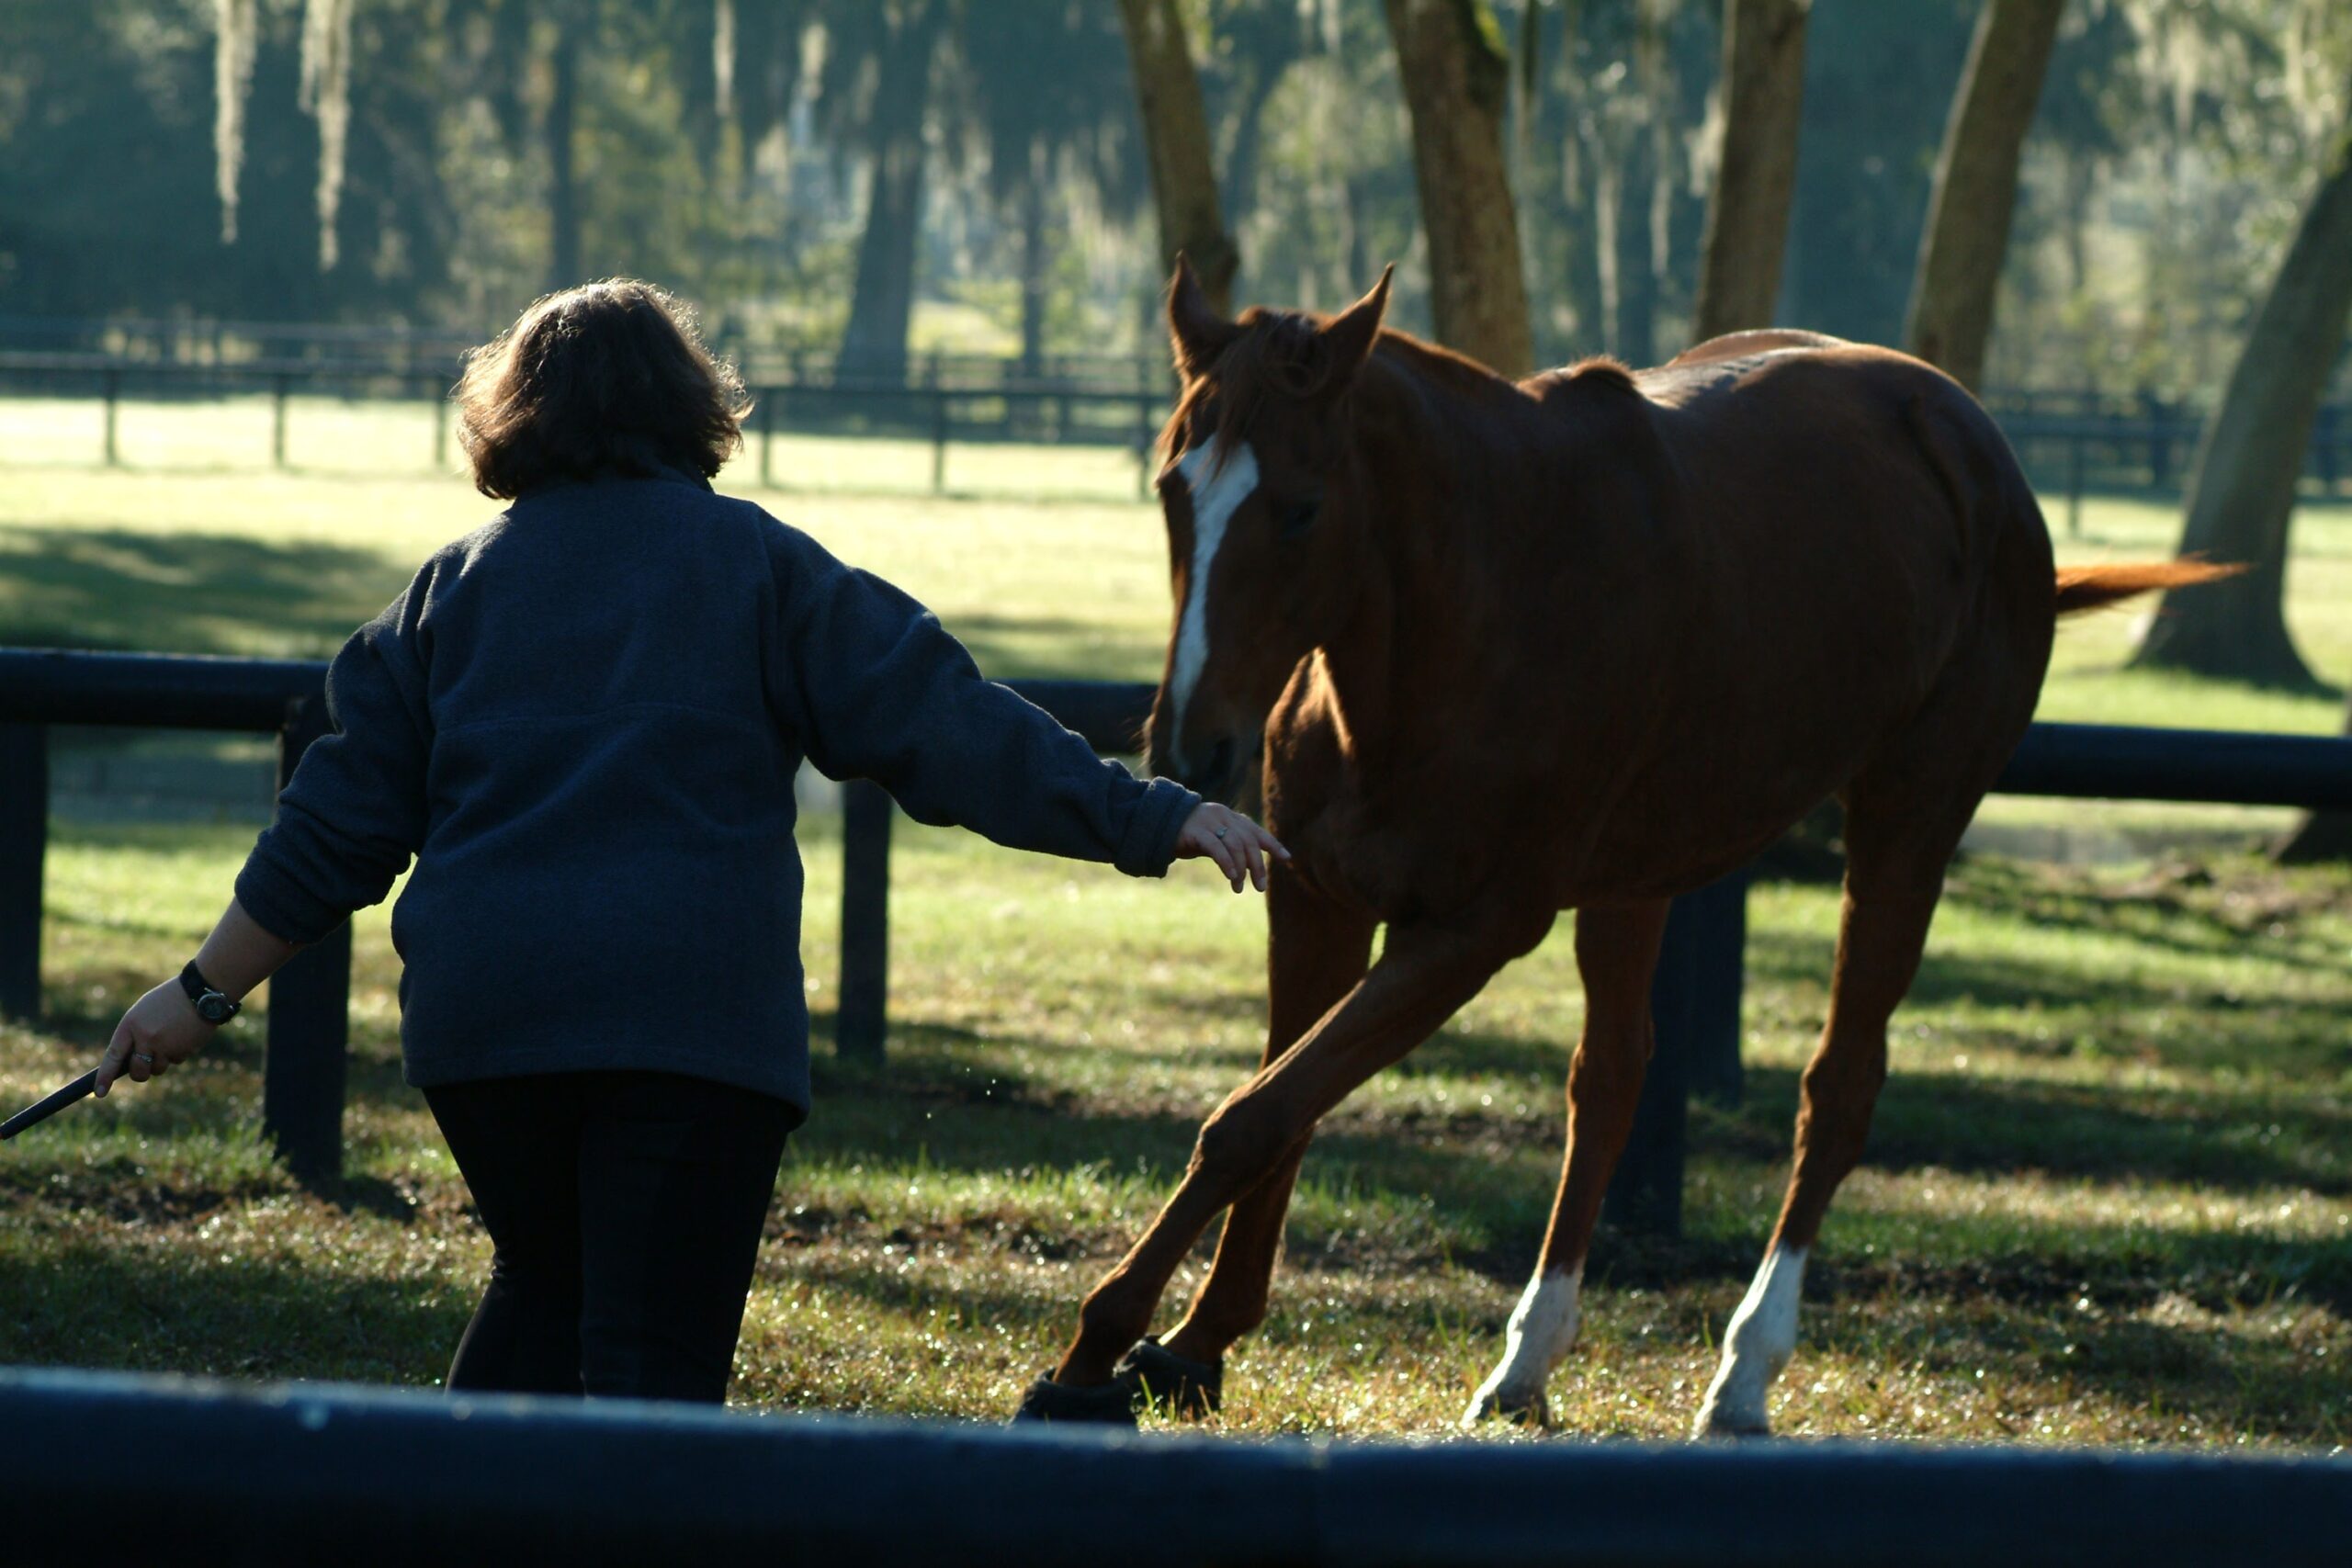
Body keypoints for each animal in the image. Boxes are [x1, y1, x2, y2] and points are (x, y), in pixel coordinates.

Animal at [1013, 258, 2230, 1436]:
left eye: (1302, 510)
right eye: (1173, 490)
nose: (1191, 745)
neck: (1476, 609)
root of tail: (1967, 438)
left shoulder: (1468, 932)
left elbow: (1253, 1117)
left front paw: (1099, 1350)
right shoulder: (1318, 901)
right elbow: (1280, 1111)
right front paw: (1193, 1348)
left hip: (1909, 817)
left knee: (1837, 1088)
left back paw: (1742, 1375)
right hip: (1640, 877)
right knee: (1610, 1082)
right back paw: (1523, 1365)